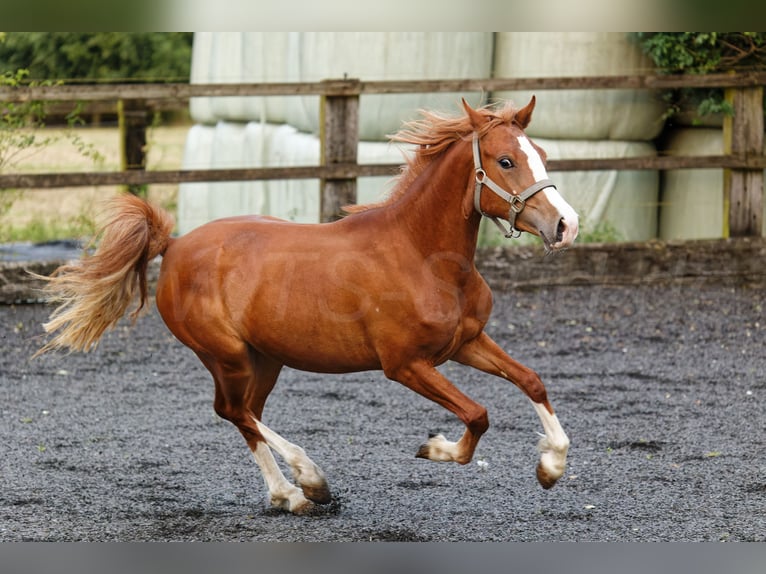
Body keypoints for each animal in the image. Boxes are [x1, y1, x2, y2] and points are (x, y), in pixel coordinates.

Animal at [36, 97, 576, 516]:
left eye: (542, 154)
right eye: (505, 161)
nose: (566, 225)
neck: (424, 256)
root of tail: (173, 245)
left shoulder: (466, 342)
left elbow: (531, 380)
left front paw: (551, 466)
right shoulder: (406, 365)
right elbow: (478, 414)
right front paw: (435, 447)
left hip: (265, 358)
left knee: (244, 413)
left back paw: (289, 495)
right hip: (225, 354)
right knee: (233, 410)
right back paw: (309, 482)